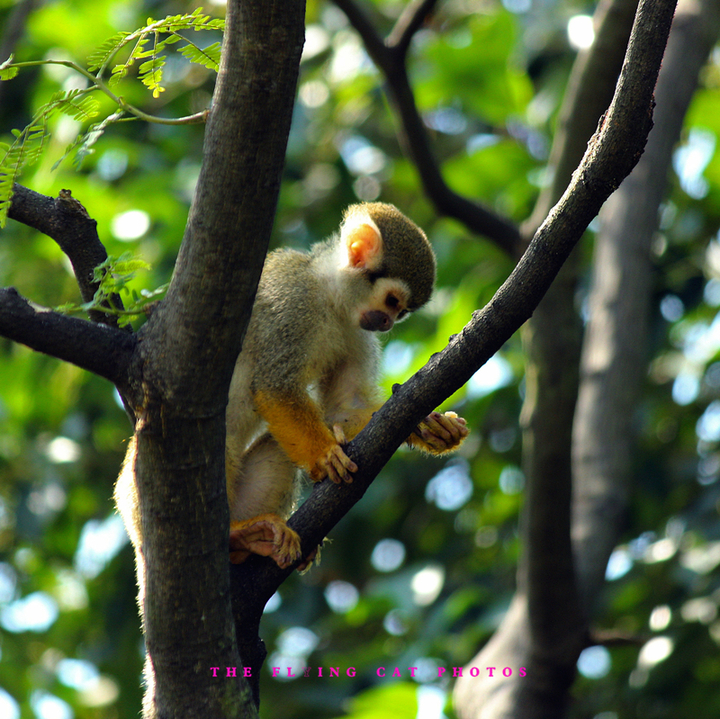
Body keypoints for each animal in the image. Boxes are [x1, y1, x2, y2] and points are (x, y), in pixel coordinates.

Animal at [225, 202, 470, 568]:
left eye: (401, 313)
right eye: (392, 302)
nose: (386, 324)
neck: (328, 295)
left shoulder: (356, 329)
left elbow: (343, 407)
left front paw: (430, 425)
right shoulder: (291, 303)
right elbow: (275, 386)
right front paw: (326, 456)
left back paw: (250, 545)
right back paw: (234, 534)